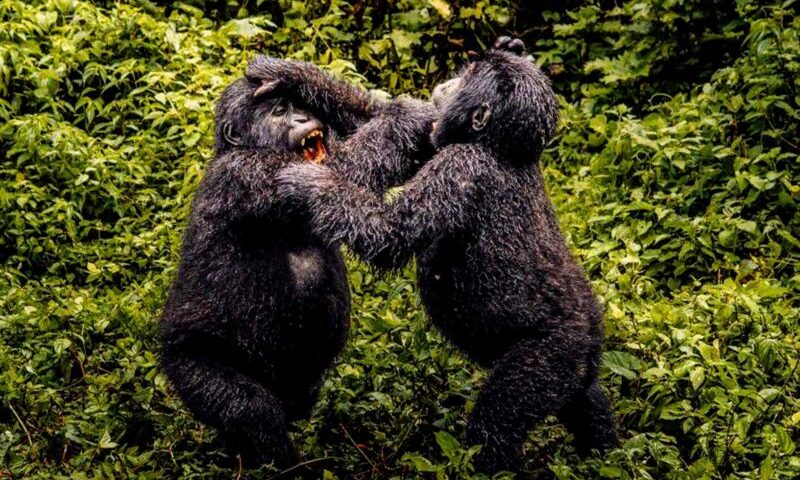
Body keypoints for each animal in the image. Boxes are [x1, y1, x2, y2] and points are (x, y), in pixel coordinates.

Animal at [271, 38, 618, 474]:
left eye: (469, 79)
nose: (451, 80)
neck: (497, 147)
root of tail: (592, 339)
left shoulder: (460, 168)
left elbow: (389, 233)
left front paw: (309, 182)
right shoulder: (437, 139)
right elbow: (386, 117)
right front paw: (287, 74)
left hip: (553, 355)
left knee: (497, 424)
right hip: (580, 370)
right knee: (590, 408)